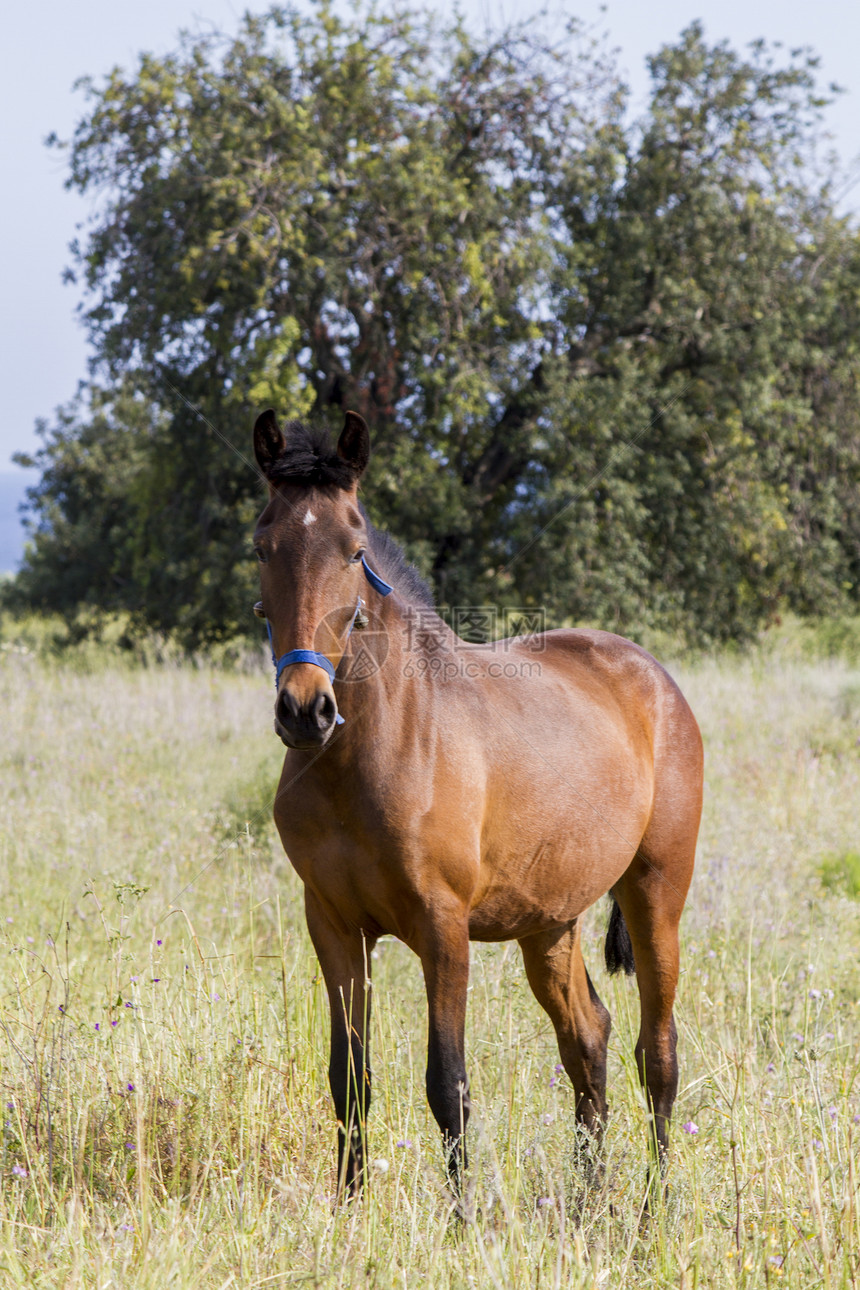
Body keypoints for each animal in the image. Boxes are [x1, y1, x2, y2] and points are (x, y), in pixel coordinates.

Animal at [252, 407, 701, 1202]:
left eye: (354, 549)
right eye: (262, 546)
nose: (305, 711)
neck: (373, 751)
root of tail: (653, 679)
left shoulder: (444, 929)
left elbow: (448, 1084)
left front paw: (461, 1219)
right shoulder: (335, 929)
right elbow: (349, 1080)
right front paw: (348, 1209)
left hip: (656, 898)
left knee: (659, 1054)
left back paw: (655, 1206)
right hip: (549, 924)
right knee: (588, 1040)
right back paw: (588, 1200)